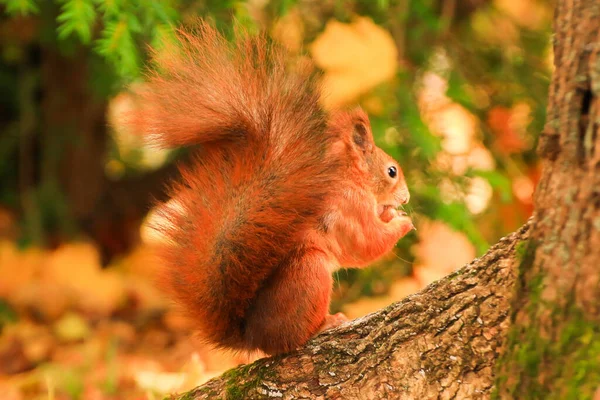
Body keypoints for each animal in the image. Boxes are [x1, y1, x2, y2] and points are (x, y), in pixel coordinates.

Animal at [127, 21, 412, 354]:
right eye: (392, 171)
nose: (407, 198)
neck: (351, 178)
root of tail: (252, 337)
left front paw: (394, 215)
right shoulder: (349, 209)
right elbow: (365, 245)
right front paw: (403, 222)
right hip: (309, 273)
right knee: (291, 339)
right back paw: (324, 324)